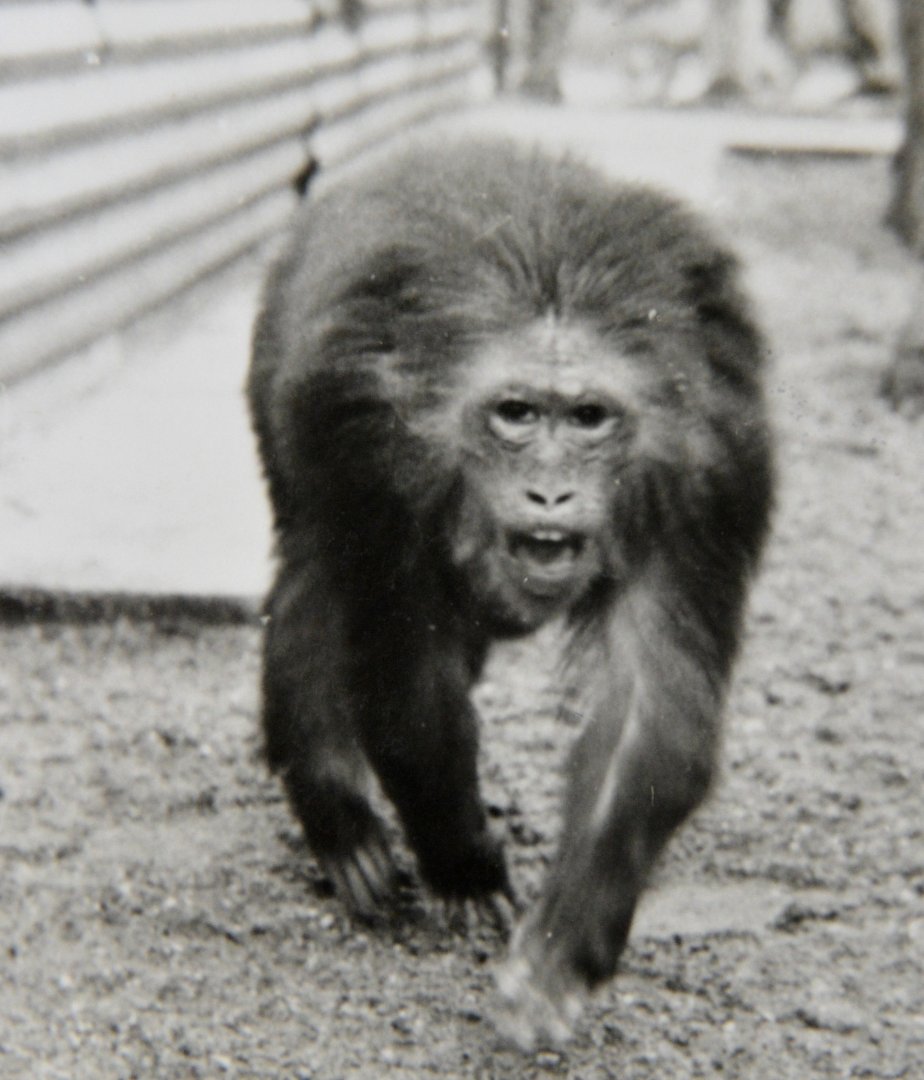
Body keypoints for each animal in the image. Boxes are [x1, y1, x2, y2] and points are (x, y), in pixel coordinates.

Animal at [247, 135, 774, 1049]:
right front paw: (462, 865)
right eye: (518, 414)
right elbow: (410, 687)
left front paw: (564, 943)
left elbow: (652, 711)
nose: (550, 494)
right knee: (315, 579)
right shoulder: (374, 452)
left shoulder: (709, 474)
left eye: (588, 418)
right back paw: (338, 811)